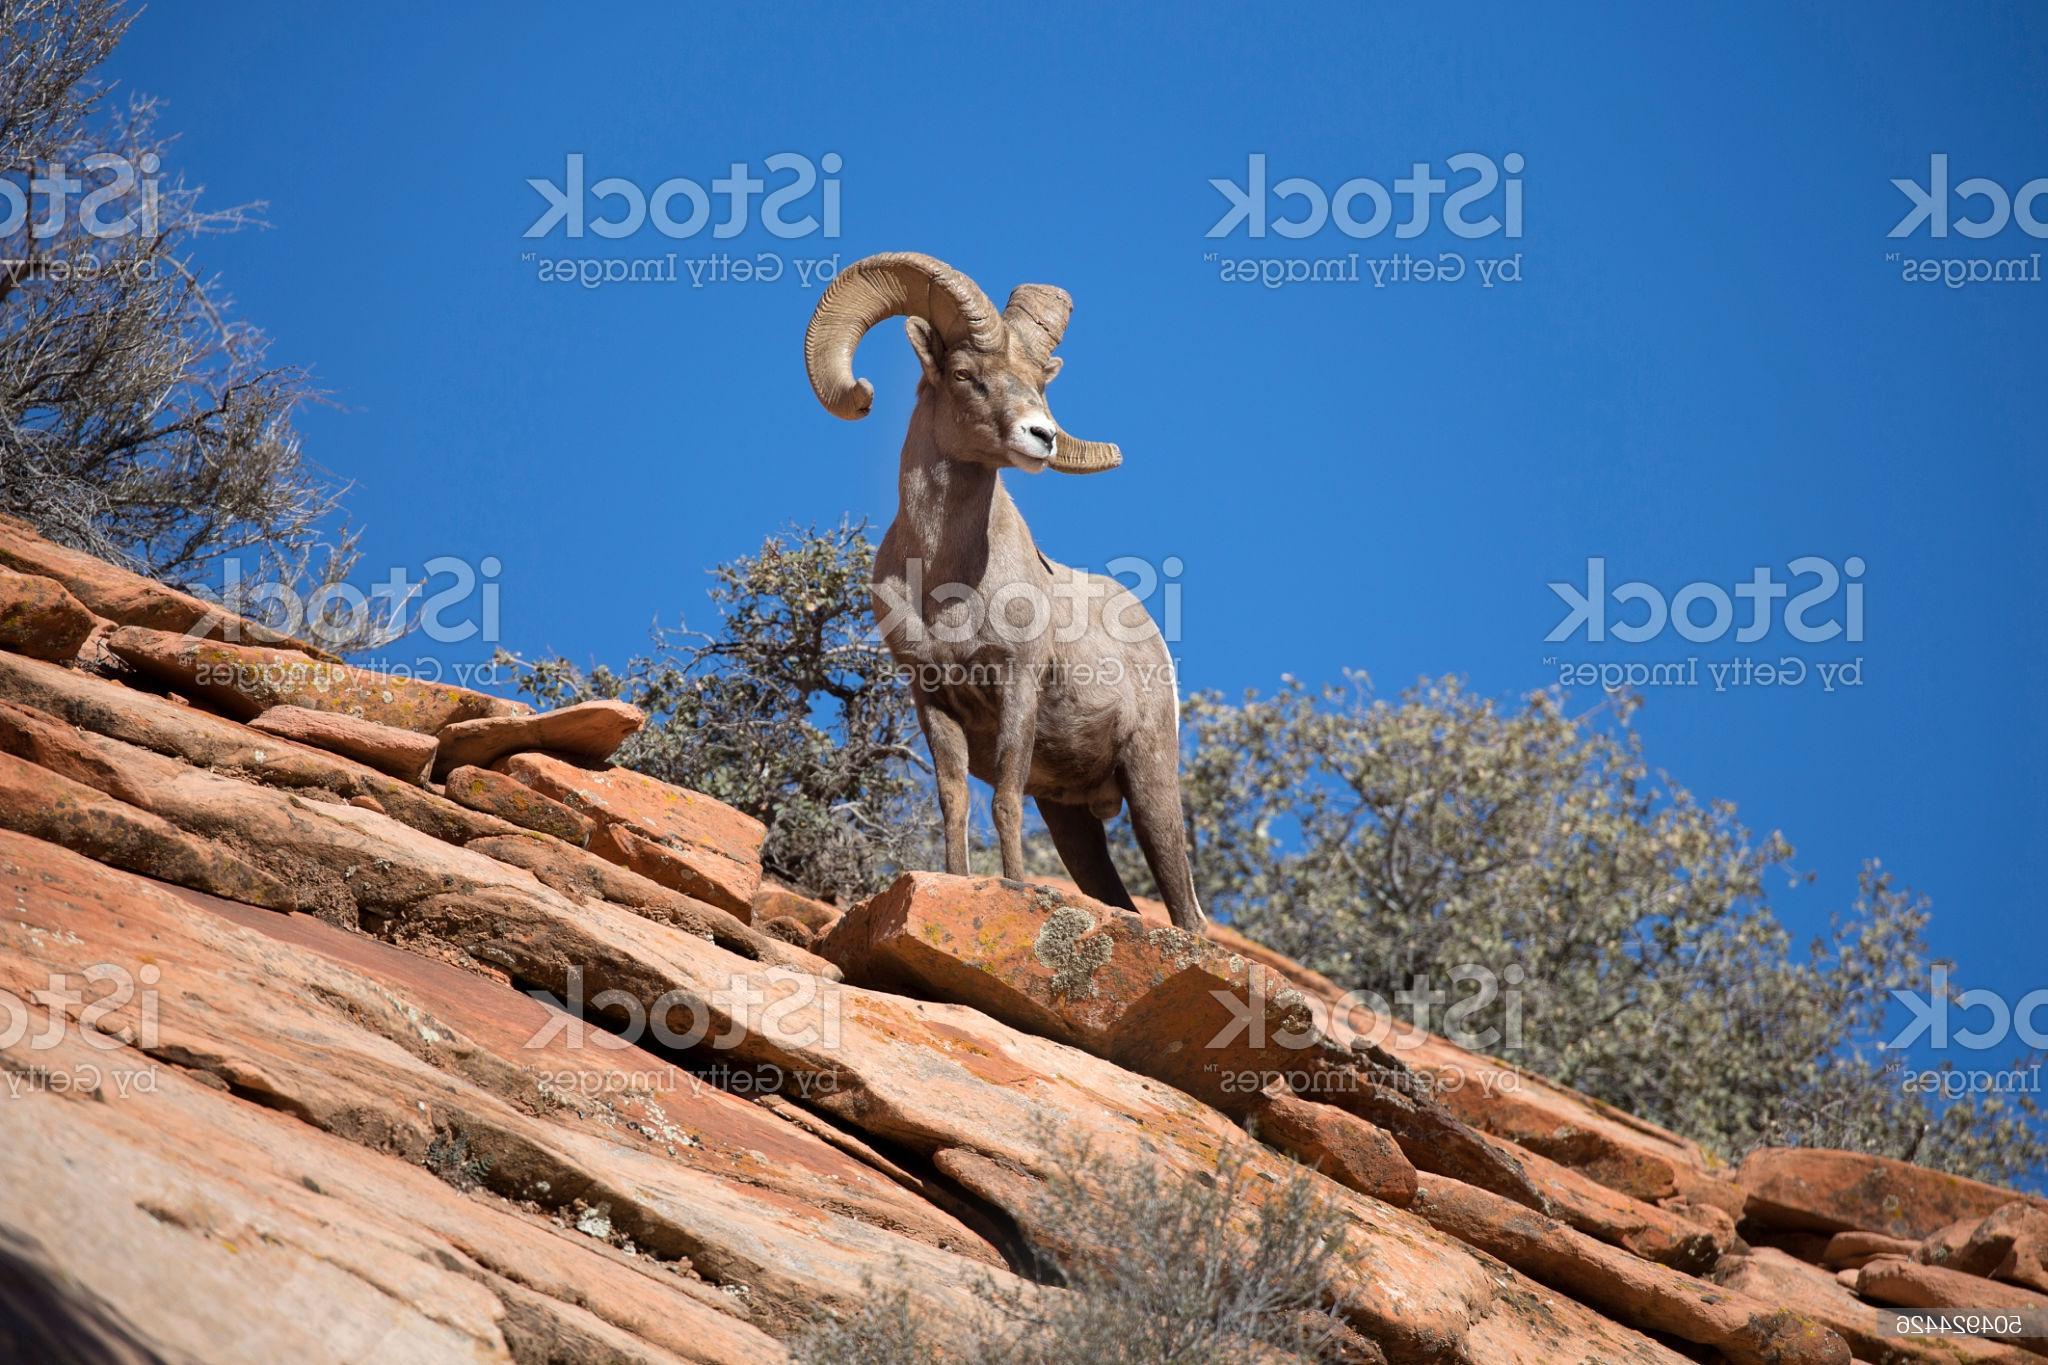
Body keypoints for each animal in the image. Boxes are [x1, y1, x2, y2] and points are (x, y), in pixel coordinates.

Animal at [804, 251, 1205, 931]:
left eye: (1040, 382)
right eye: (966, 374)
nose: (1041, 436)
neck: (947, 585)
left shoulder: (1017, 685)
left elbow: (1006, 802)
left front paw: (1014, 890)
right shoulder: (931, 698)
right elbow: (955, 800)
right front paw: (957, 881)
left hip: (1150, 779)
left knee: (1187, 912)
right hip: (1073, 819)